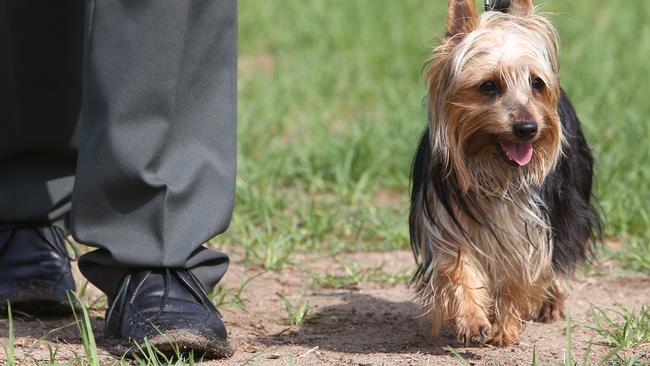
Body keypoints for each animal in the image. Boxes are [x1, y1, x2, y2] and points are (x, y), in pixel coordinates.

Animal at [408, 0, 600, 346]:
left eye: (536, 83)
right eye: (488, 86)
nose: (528, 128)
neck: (493, 169)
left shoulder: (530, 228)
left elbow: (521, 274)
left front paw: (505, 328)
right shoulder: (446, 222)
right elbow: (458, 268)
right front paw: (473, 319)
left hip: (570, 199)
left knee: (564, 249)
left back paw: (552, 303)